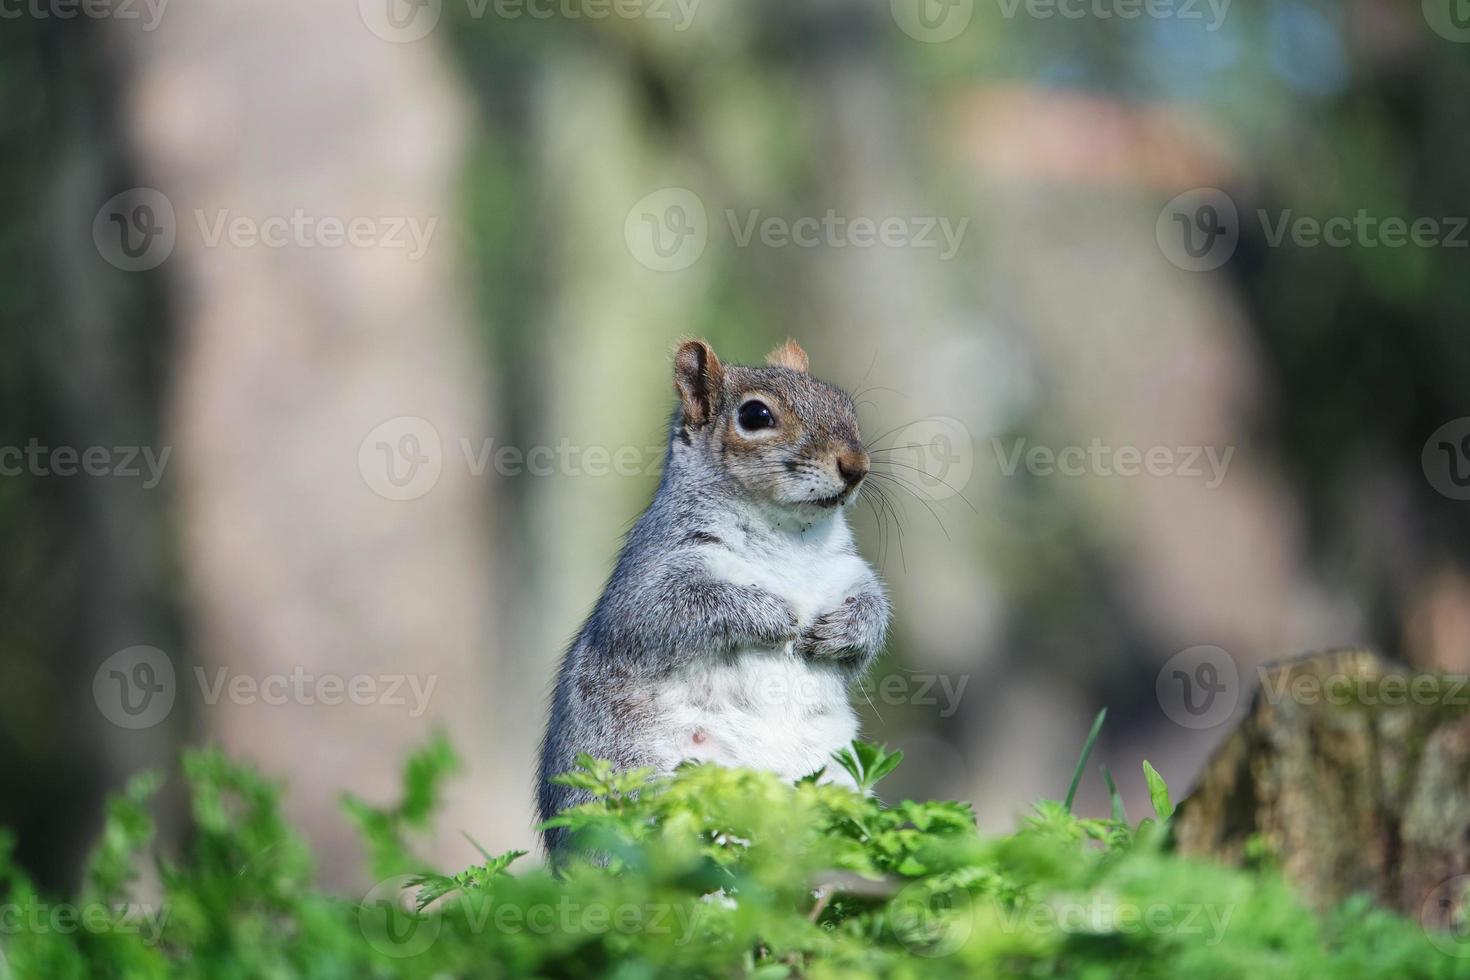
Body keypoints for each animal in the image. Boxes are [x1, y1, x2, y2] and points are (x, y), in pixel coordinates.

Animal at [538, 337, 887, 852]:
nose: (856, 466)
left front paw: (842, 630)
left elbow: (873, 616)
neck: (790, 534)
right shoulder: (652, 577)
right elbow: (675, 613)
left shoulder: (850, 573)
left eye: (845, 403)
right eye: (756, 415)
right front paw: (774, 614)